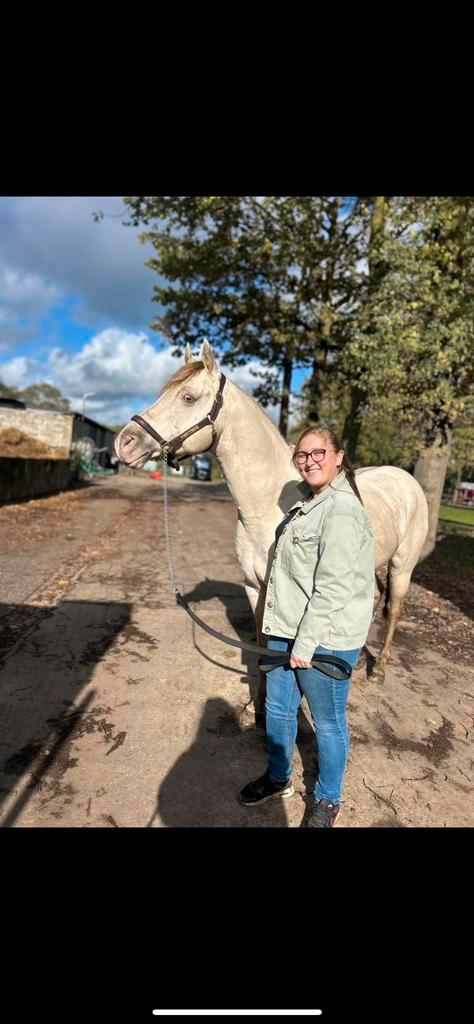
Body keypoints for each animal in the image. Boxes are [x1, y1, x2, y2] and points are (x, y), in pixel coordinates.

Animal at [115, 339, 429, 685]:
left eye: (188, 397)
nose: (124, 443)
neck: (266, 510)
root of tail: (406, 479)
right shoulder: (255, 589)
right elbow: (262, 643)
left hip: (402, 567)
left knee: (394, 609)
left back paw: (379, 668)